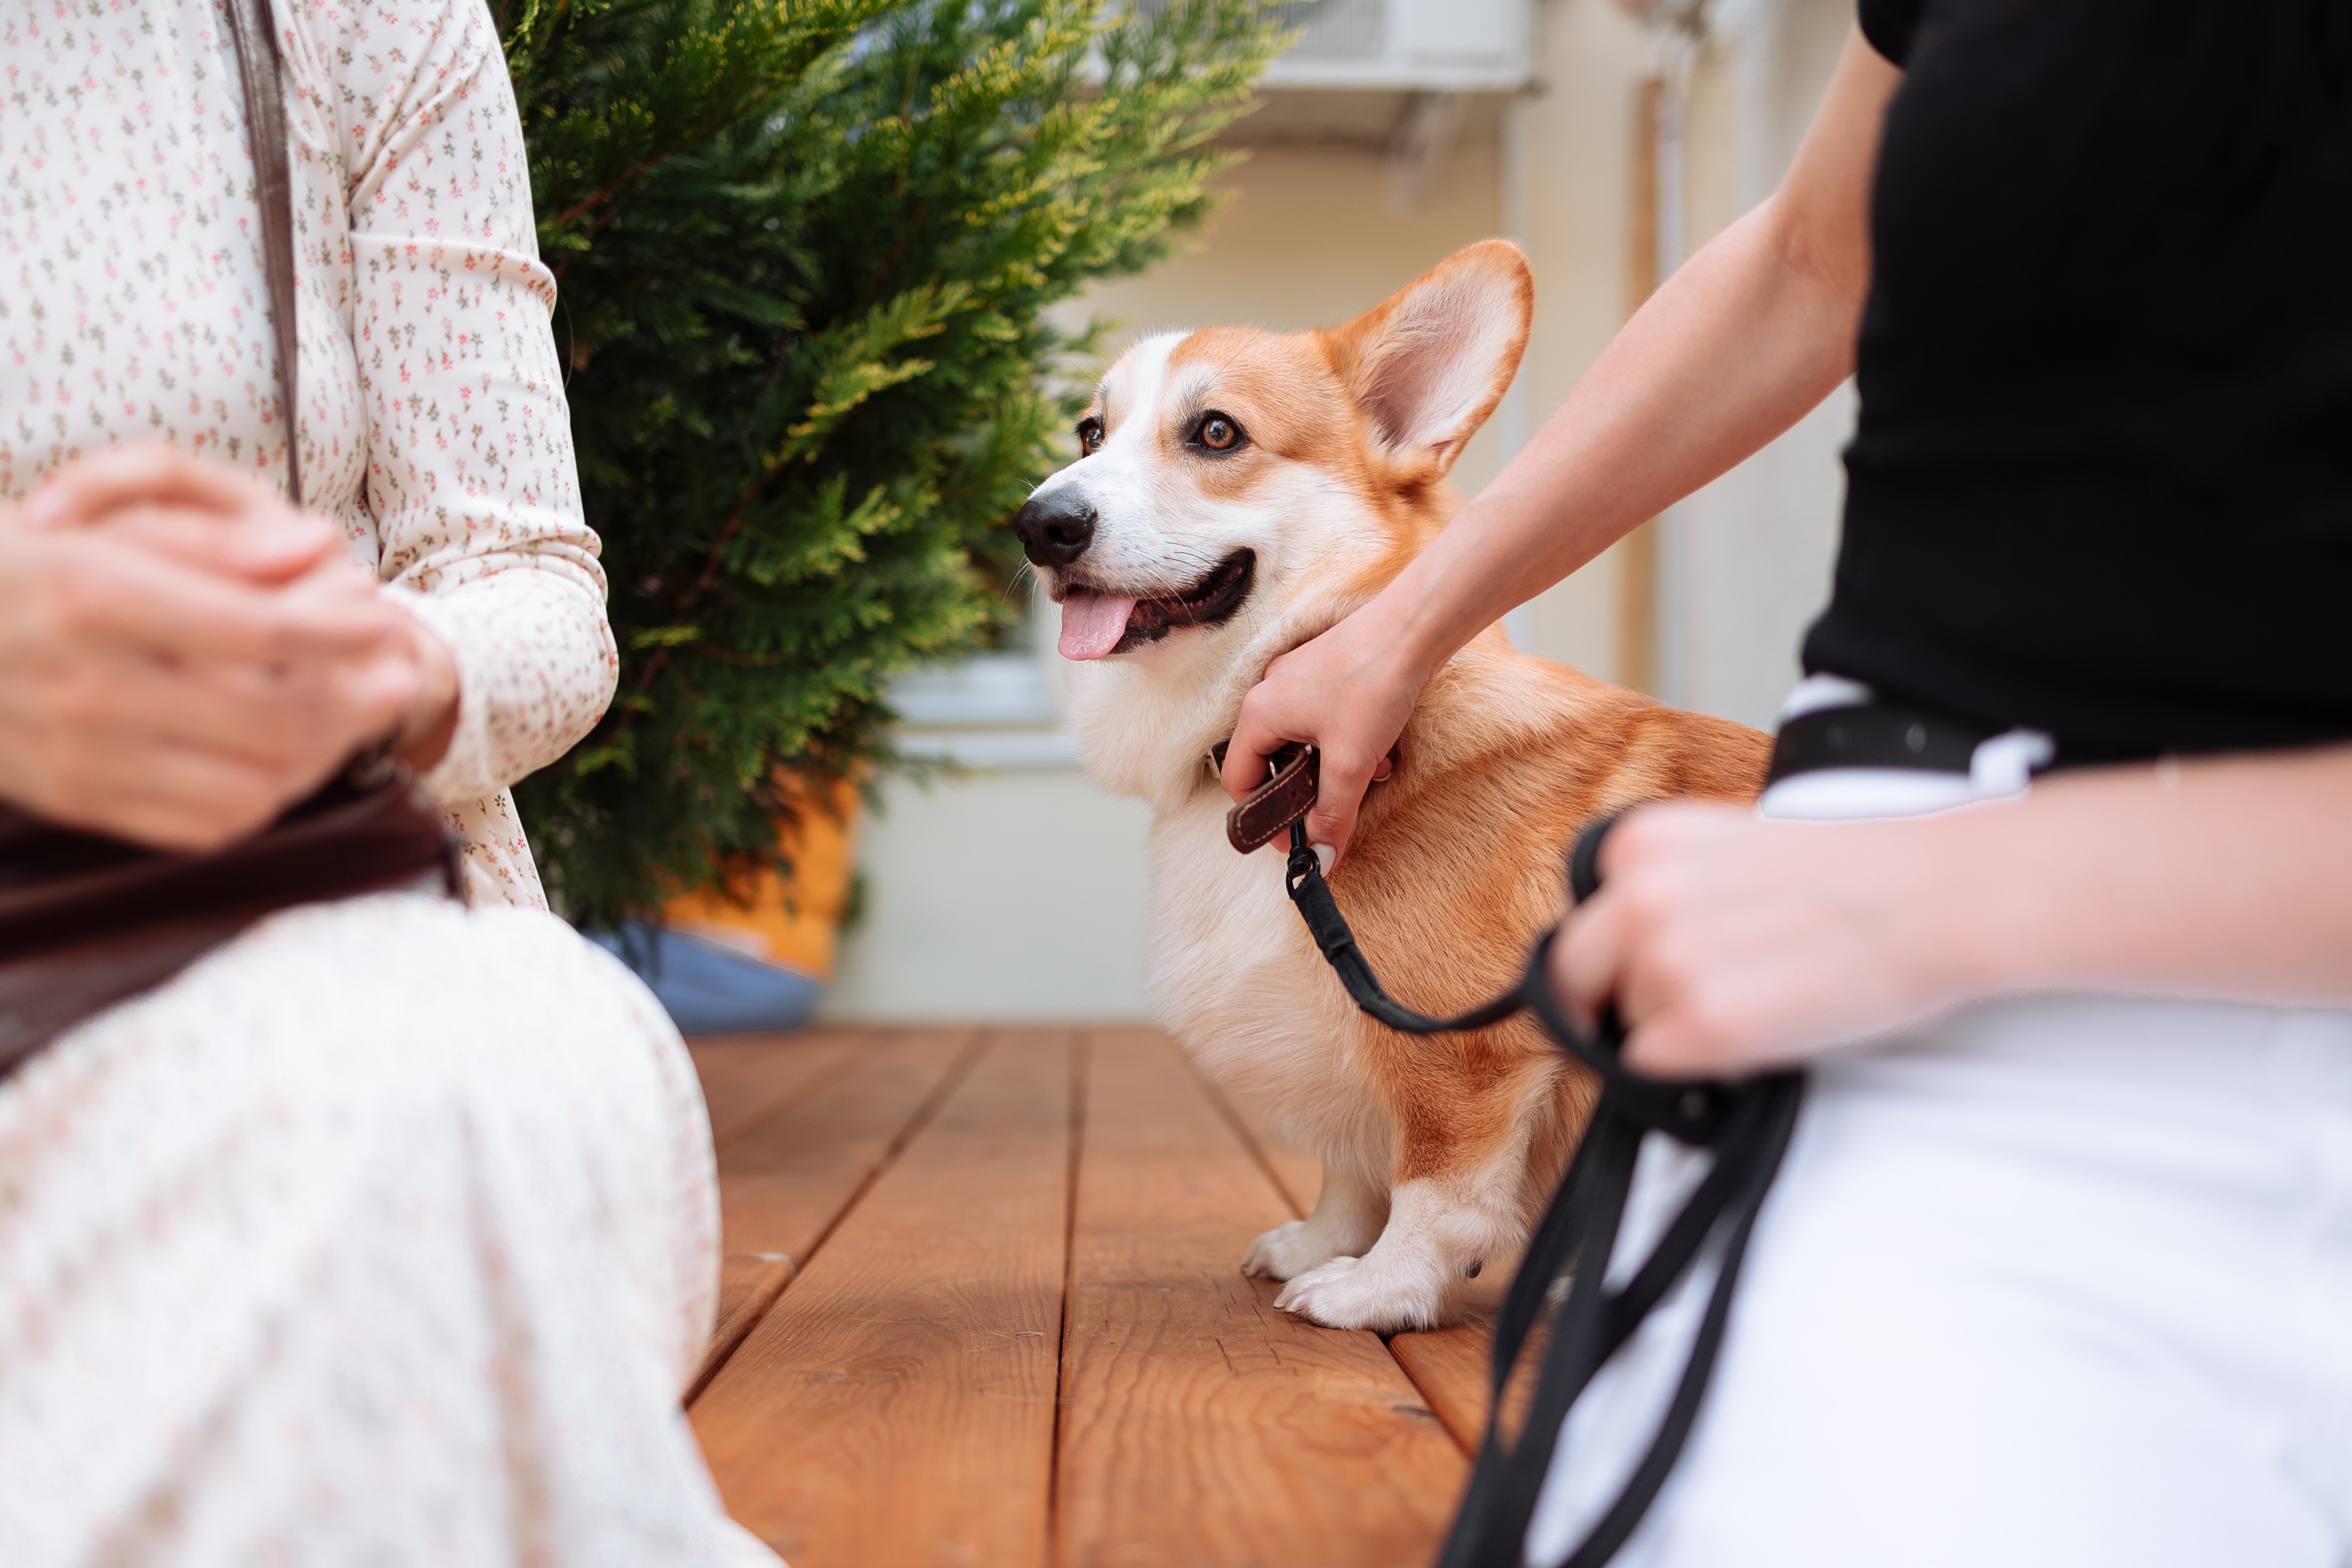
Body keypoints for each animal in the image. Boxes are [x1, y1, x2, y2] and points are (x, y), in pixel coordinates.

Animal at [1011, 240, 1769, 1335]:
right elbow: (1351, 1169)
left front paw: (1377, 1287)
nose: (1038, 524)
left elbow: (1436, 1190)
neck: (1289, 758)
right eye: (1089, 431)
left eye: (1214, 431)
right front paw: (1322, 1243)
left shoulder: (1463, 1053)